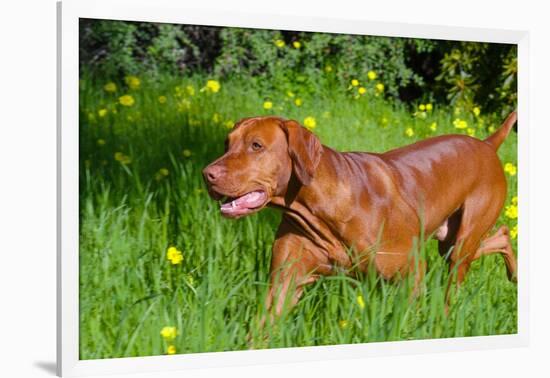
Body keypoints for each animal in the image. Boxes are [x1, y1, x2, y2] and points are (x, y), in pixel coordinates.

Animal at [203, 113, 516, 318]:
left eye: (256, 145)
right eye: (227, 144)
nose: (207, 174)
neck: (322, 210)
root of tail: (487, 144)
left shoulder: (411, 273)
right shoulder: (284, 283)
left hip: (462, 242)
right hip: (450, 242)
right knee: (500, 235)